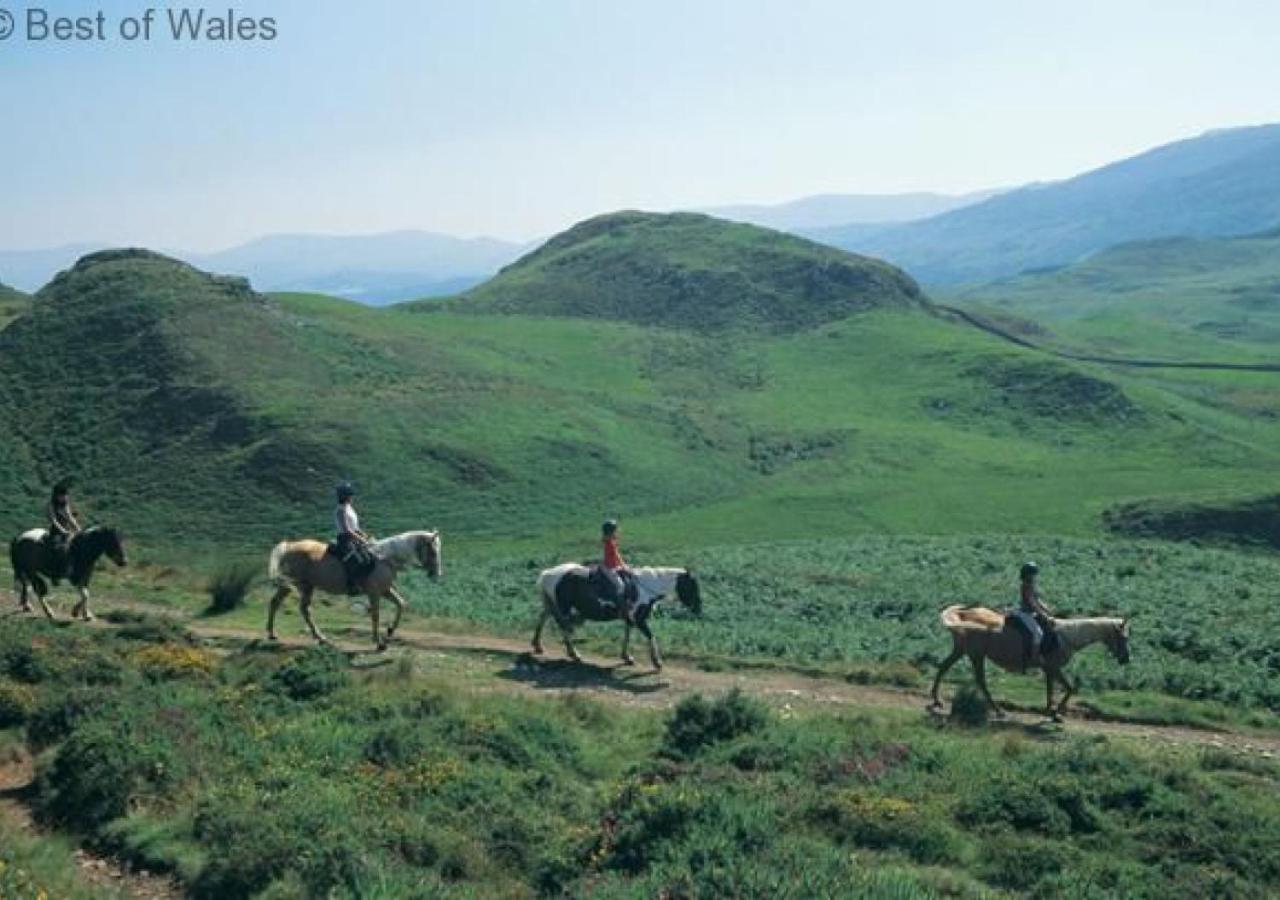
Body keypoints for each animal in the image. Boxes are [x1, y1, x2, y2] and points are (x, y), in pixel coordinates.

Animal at [535, 565, 706, 670]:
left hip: (553, 605)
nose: (698, 608)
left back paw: (538, 645)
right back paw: (574, 654)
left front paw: (626, 657)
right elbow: (651, 636)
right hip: (564, 608)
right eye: (692, 586)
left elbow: (627, 635)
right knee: (564, 629)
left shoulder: (630, 619)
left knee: (544, 617)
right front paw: (657, 662)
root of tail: (548, 573)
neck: (645, 588)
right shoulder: (639, 619)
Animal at [931, 604, 1131, 727]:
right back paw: (999, 711)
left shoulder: (1049, 670)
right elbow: (1069, 688)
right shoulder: (1053, 668)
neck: (1066, 637)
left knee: (943, 668)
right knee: (980, 681)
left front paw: (1051, 712)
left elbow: (1051, 691)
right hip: (976, 655)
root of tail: (963, 615)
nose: (1126, 659)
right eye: (1124, 638)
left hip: (963, 651)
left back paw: (937, 700)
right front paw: (1056, 713)